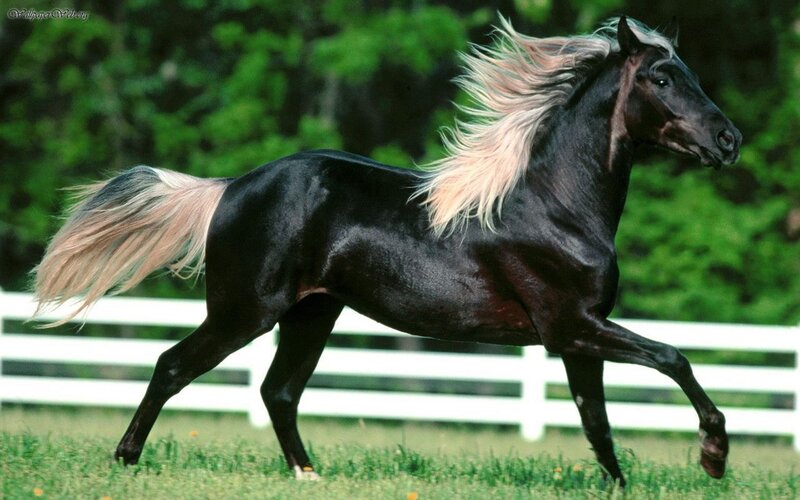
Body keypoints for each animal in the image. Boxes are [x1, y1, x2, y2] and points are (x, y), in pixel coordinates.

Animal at [32, 16, 741, 486]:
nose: (729, 141)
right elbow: (673, 358)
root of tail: (230, 188)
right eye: (662, 77)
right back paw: (126, 461)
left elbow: (597, 421)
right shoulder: (571, 324)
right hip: (245, 311)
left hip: (311, 313)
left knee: (278, 391)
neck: (556, 205)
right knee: (173, 366)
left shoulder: (577, 334)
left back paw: (309, 476)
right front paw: (713, 457)